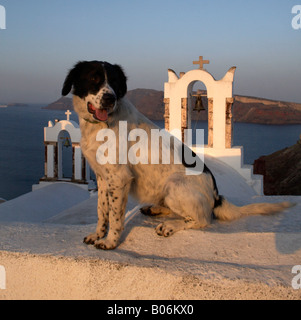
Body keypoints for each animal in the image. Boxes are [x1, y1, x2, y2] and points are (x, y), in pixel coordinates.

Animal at [61, 60, 292, 250]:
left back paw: (169, 226)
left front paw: (110, 242)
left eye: (116, 82)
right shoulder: (103, 177)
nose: (110, 98)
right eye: (94, 79)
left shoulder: (119, 178)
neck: (102, 125)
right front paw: (97, 235)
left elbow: (115, 216)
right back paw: (156, 210)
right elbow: (102, 211)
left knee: (202, 219)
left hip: (174, 185)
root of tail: (216, 197)